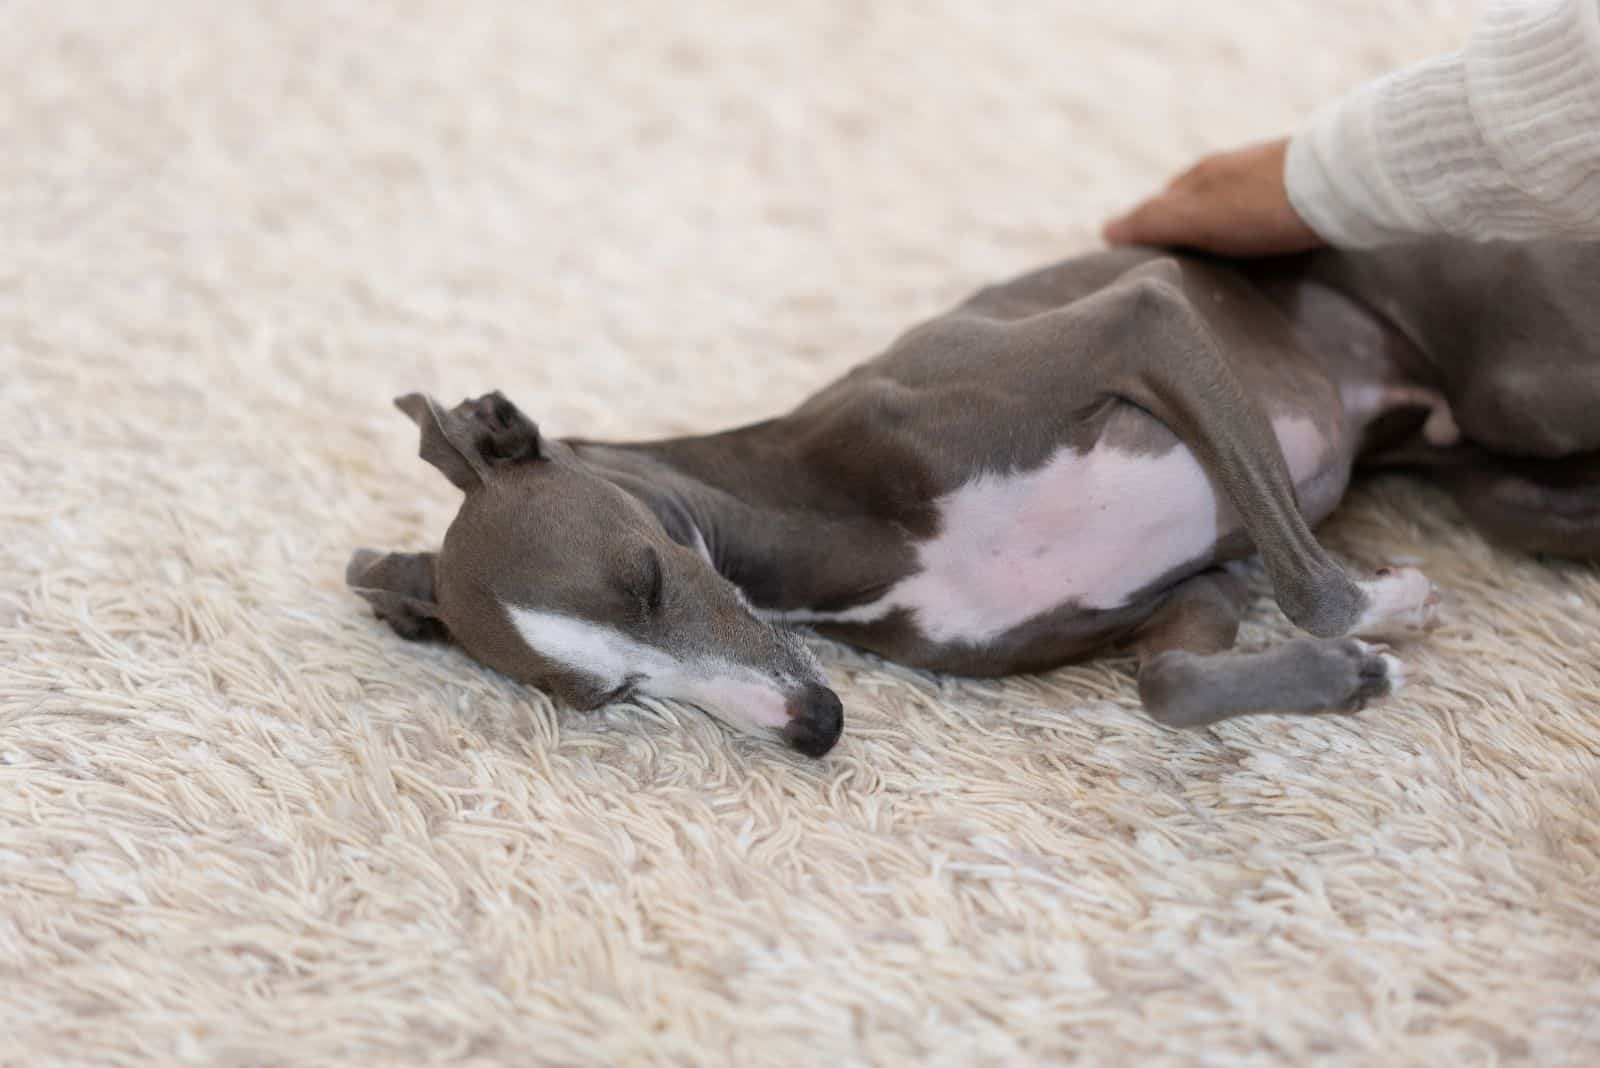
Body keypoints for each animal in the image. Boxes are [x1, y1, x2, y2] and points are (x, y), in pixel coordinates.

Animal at [350, 239, 1600, 757]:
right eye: (611, 693)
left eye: (650, 575)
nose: (813, 728)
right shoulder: (1196, 585)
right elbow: (1169, 686)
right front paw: (1348, 673)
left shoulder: (1144, 318)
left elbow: (1310, 583)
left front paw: (1382, 609)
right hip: (1504, 481)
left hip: (1532, 386)